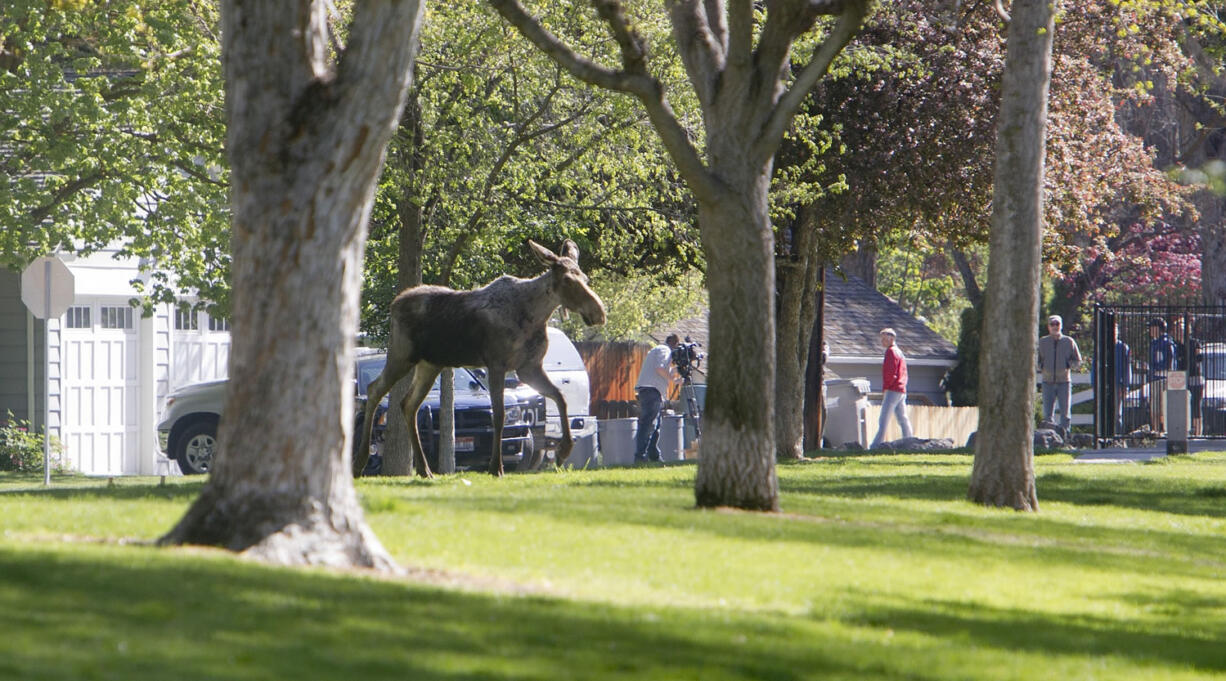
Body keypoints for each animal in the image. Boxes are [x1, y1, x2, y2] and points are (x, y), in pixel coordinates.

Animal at [353, 239, 605, 478]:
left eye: (585, 278)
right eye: (568, 281)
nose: (599, 313)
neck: (535, 317)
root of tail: (394, 305)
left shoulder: (529, 367)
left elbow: (560, 397)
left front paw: (564, 449)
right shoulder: (497, 363)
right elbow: (499, 415)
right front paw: (496, 467)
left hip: (429, 364)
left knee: (408, 404)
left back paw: (424, 469)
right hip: (401, 355)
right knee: (374, 389)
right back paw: (359, 462)